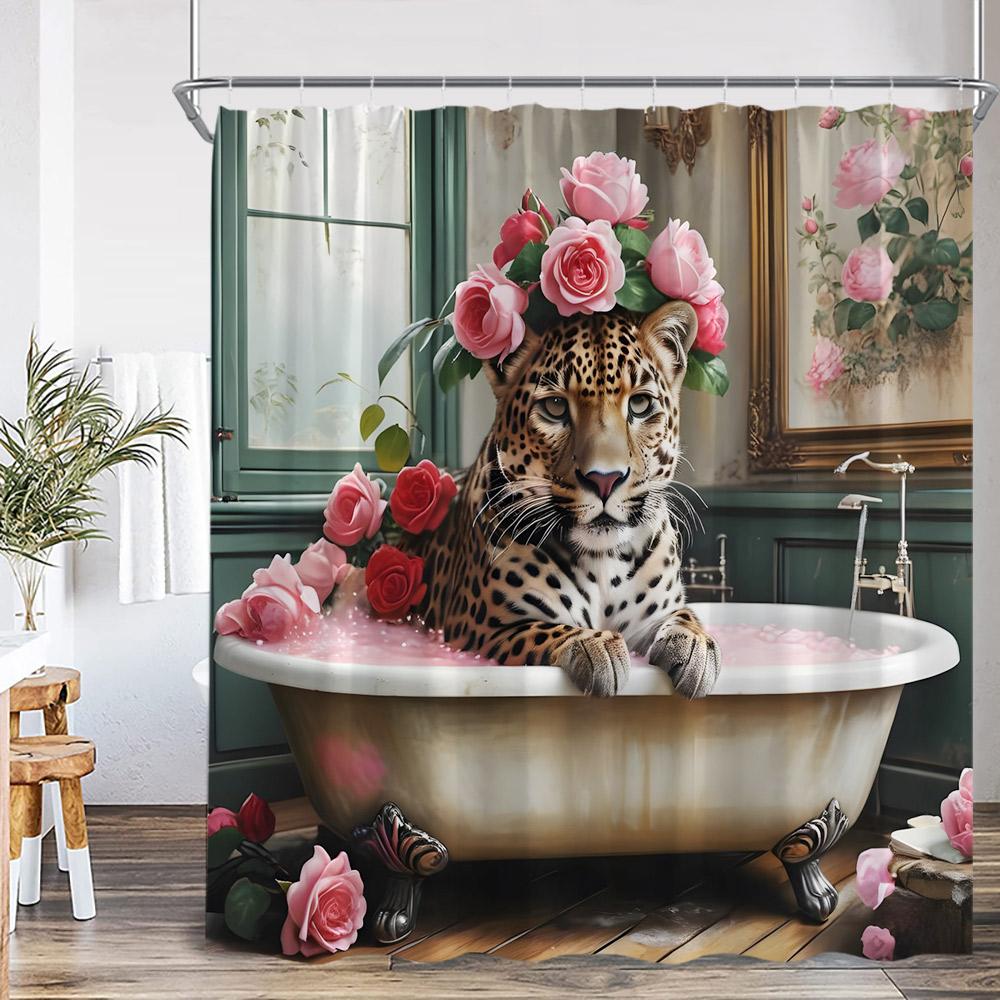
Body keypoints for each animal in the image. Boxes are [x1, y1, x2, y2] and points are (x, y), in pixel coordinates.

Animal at [407, 300, 721, 699]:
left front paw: (694, 648)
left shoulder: (657, 611)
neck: (605, 562)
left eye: (640, 404)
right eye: (555, 407)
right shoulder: (479, 627)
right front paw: (595, 647)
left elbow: (685, 615)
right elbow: (543, 629)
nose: (605, 479)